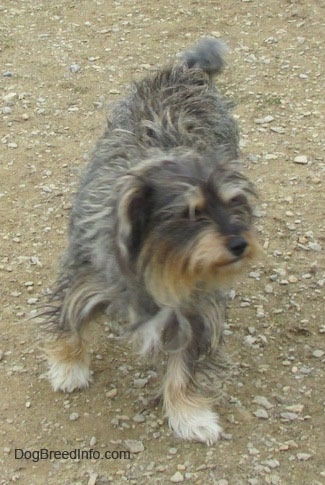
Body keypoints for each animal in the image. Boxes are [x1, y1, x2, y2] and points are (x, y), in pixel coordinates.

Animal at [43, 37, 258, 444]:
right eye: (190, 213)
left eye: (234, 203)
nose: (241, 245)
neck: (156, 259)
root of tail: (187, 70)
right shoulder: (84, 281)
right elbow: (69, 323)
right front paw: (68, 367)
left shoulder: (195, 310)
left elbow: (183, 367)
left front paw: (189, 414)